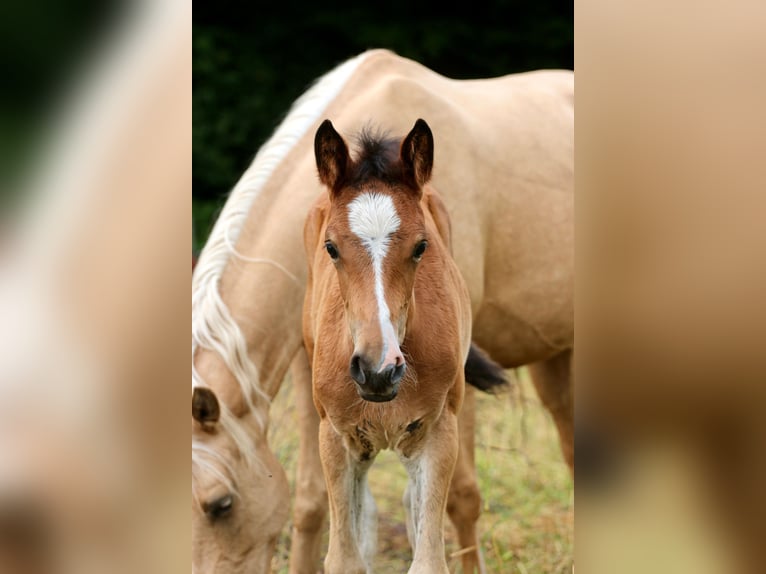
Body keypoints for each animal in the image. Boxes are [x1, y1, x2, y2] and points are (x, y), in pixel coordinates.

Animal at [192, 49, 573, 573]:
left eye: (221, 504)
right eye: (330, 247)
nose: (377, 369)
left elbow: (461, 498)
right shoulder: (309, 373)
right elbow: (312, 502)